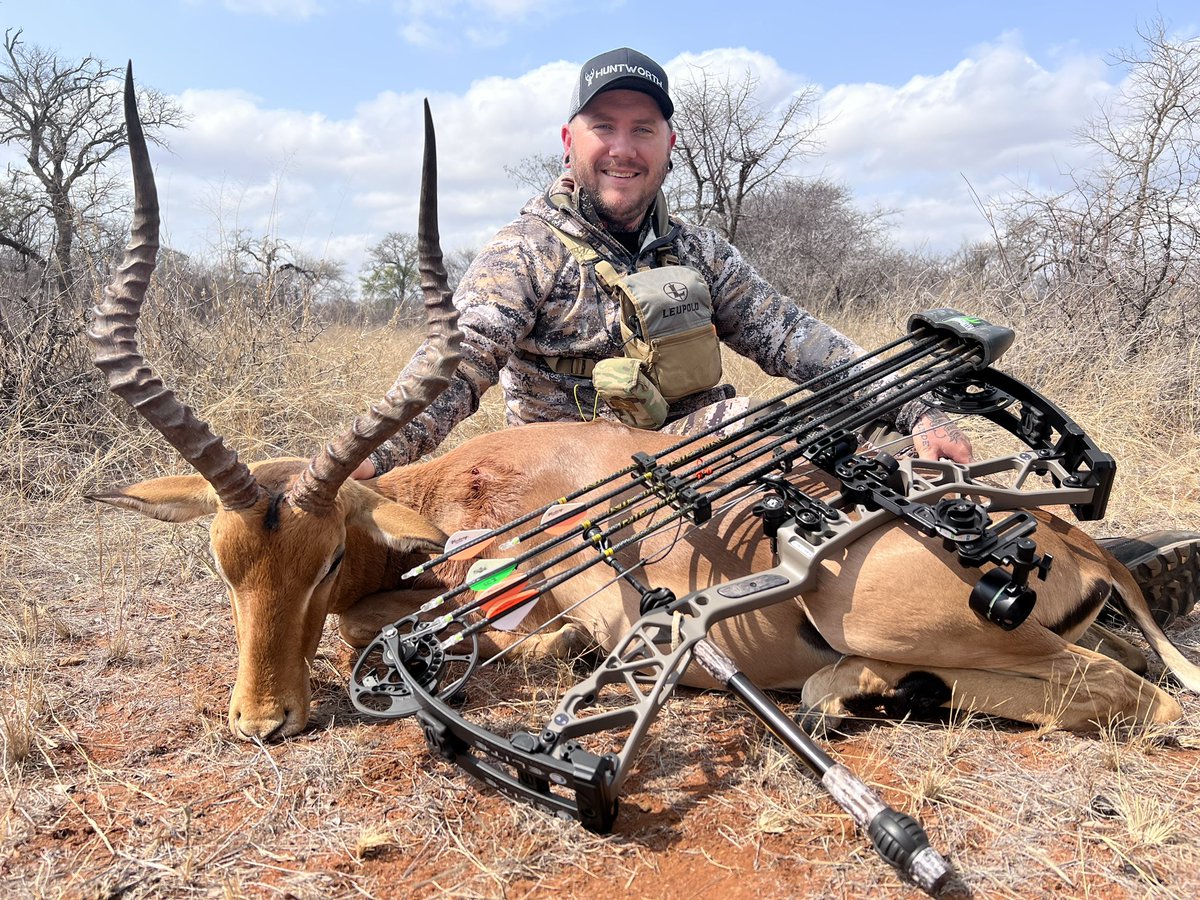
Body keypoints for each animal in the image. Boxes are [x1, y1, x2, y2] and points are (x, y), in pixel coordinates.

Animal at [88, 69, 1200, 742]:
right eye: (224, 562)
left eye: (321, 558)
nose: (262, 721)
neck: (472, 487)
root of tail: (1053, 534)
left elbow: (402, 626)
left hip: (895, 614)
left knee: (1137, 697)